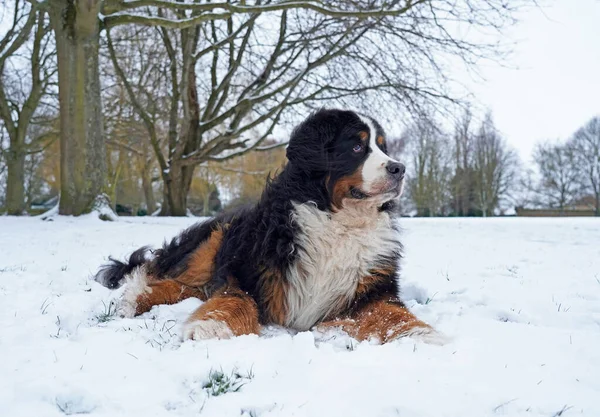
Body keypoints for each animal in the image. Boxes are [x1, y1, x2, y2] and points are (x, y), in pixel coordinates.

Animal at [95, 109, 440, 342]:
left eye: (383, 146)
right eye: (357, 147)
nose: (399, 168)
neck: (338, 221)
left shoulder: (371, 288)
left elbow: (392, 313)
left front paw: (422, 335)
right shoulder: (243, 270)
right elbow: (237, 298)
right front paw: (213, 325)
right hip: (215, 240)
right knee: (158, 274)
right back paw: (135, 297)